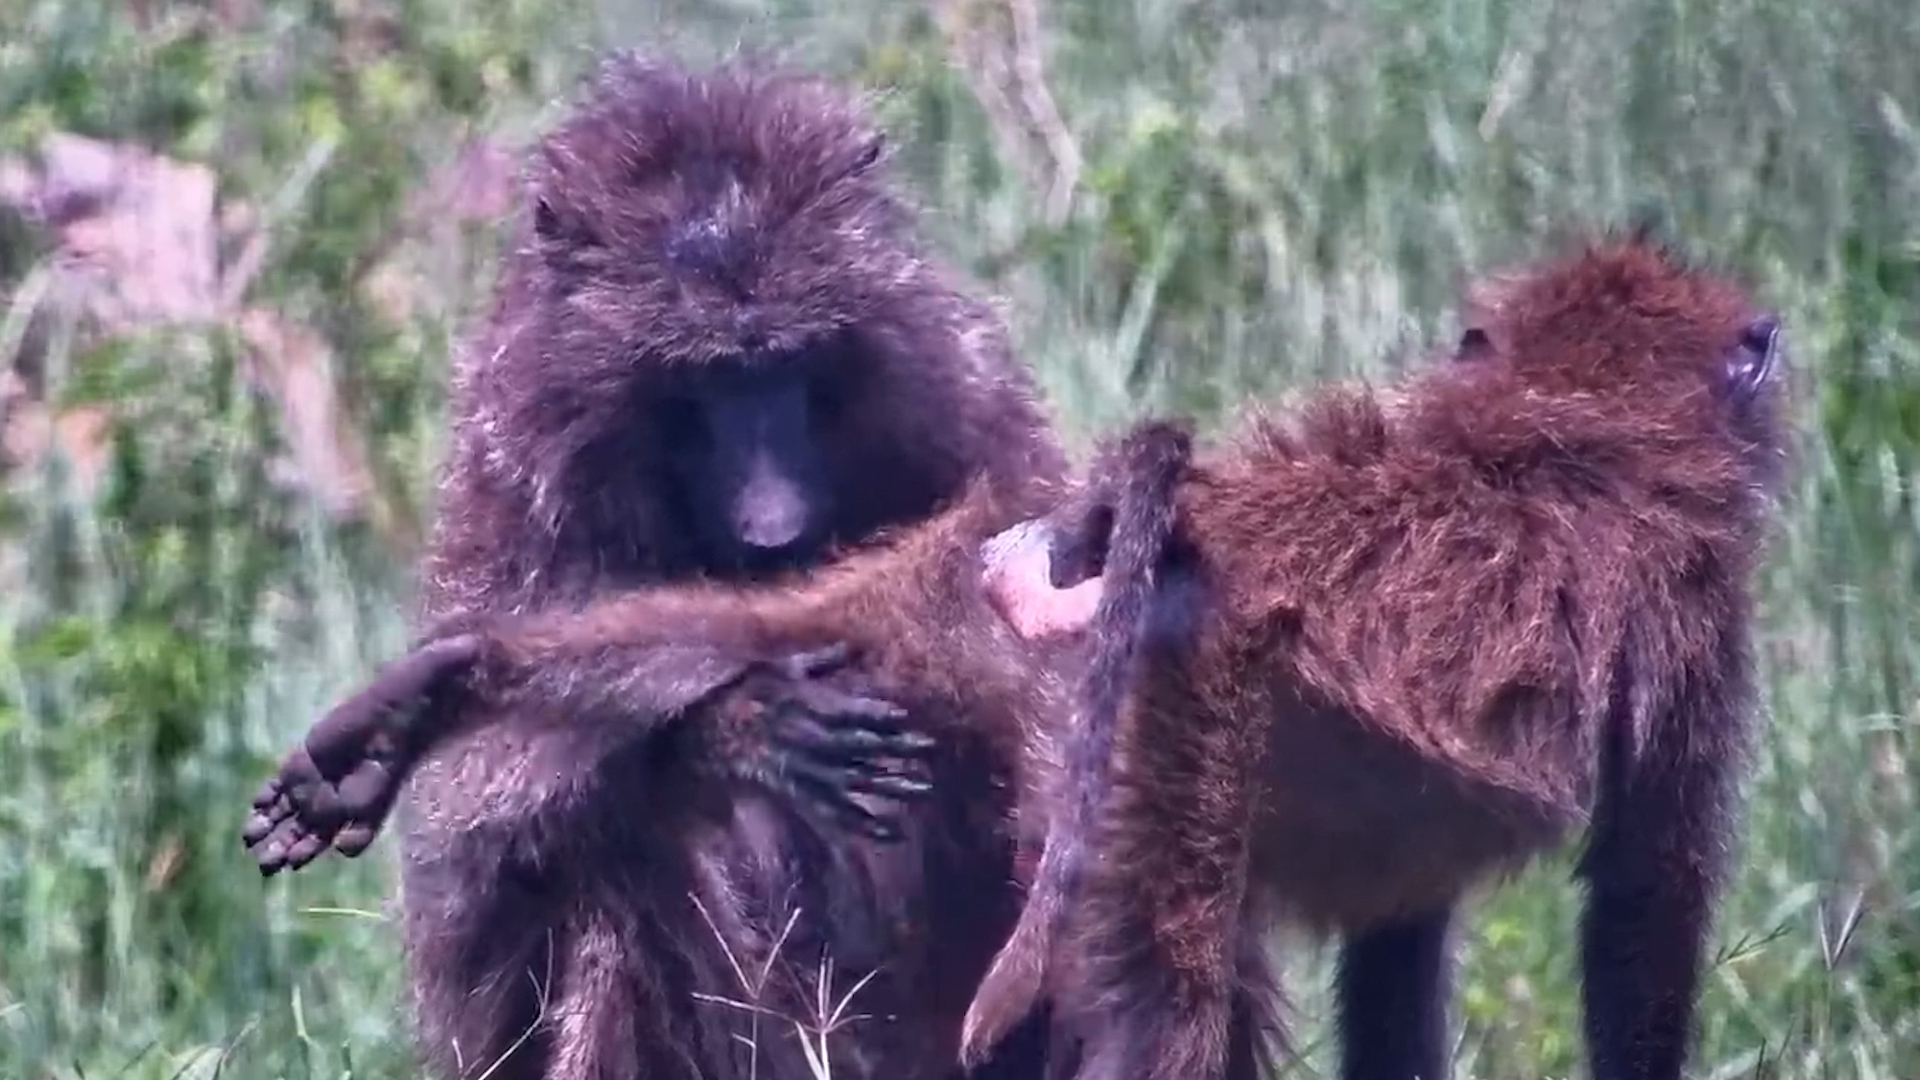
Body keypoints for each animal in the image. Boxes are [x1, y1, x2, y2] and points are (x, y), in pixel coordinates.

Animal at [244, 52, 1073, 1080]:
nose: (775, 528)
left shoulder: (963, 387)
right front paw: (740, 720)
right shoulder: (508, 484)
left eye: (792, 364)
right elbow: (476, 830)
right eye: (703, 381)